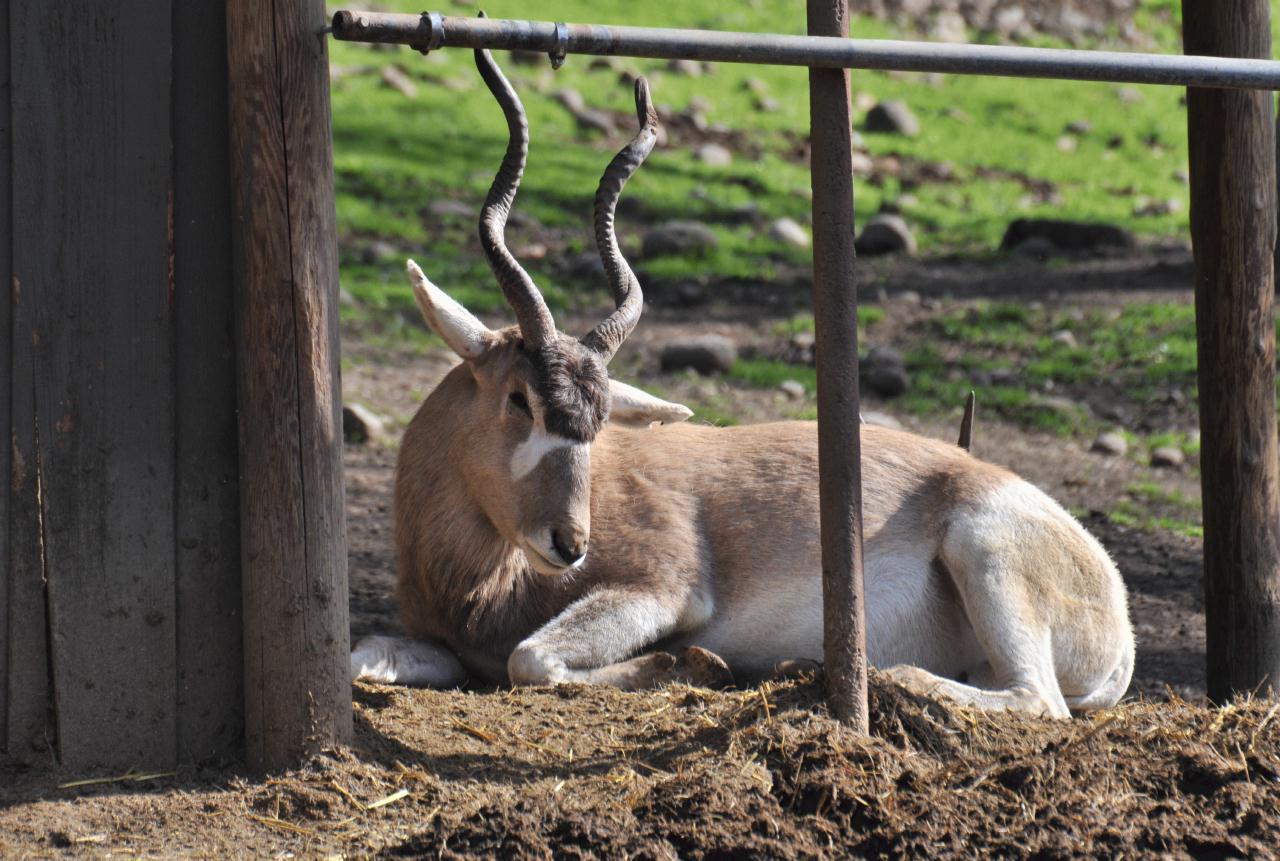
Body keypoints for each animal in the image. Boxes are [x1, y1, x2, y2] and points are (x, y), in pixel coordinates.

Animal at [348, 48, 1131, 716]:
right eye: (519, 398)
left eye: (596, 422)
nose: (570, 543)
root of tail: (1115, 608)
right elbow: (365, 657)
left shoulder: (667, 591)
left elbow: (530, 658)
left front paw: (688, 664)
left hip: (982, 548)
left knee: (1039, 701)